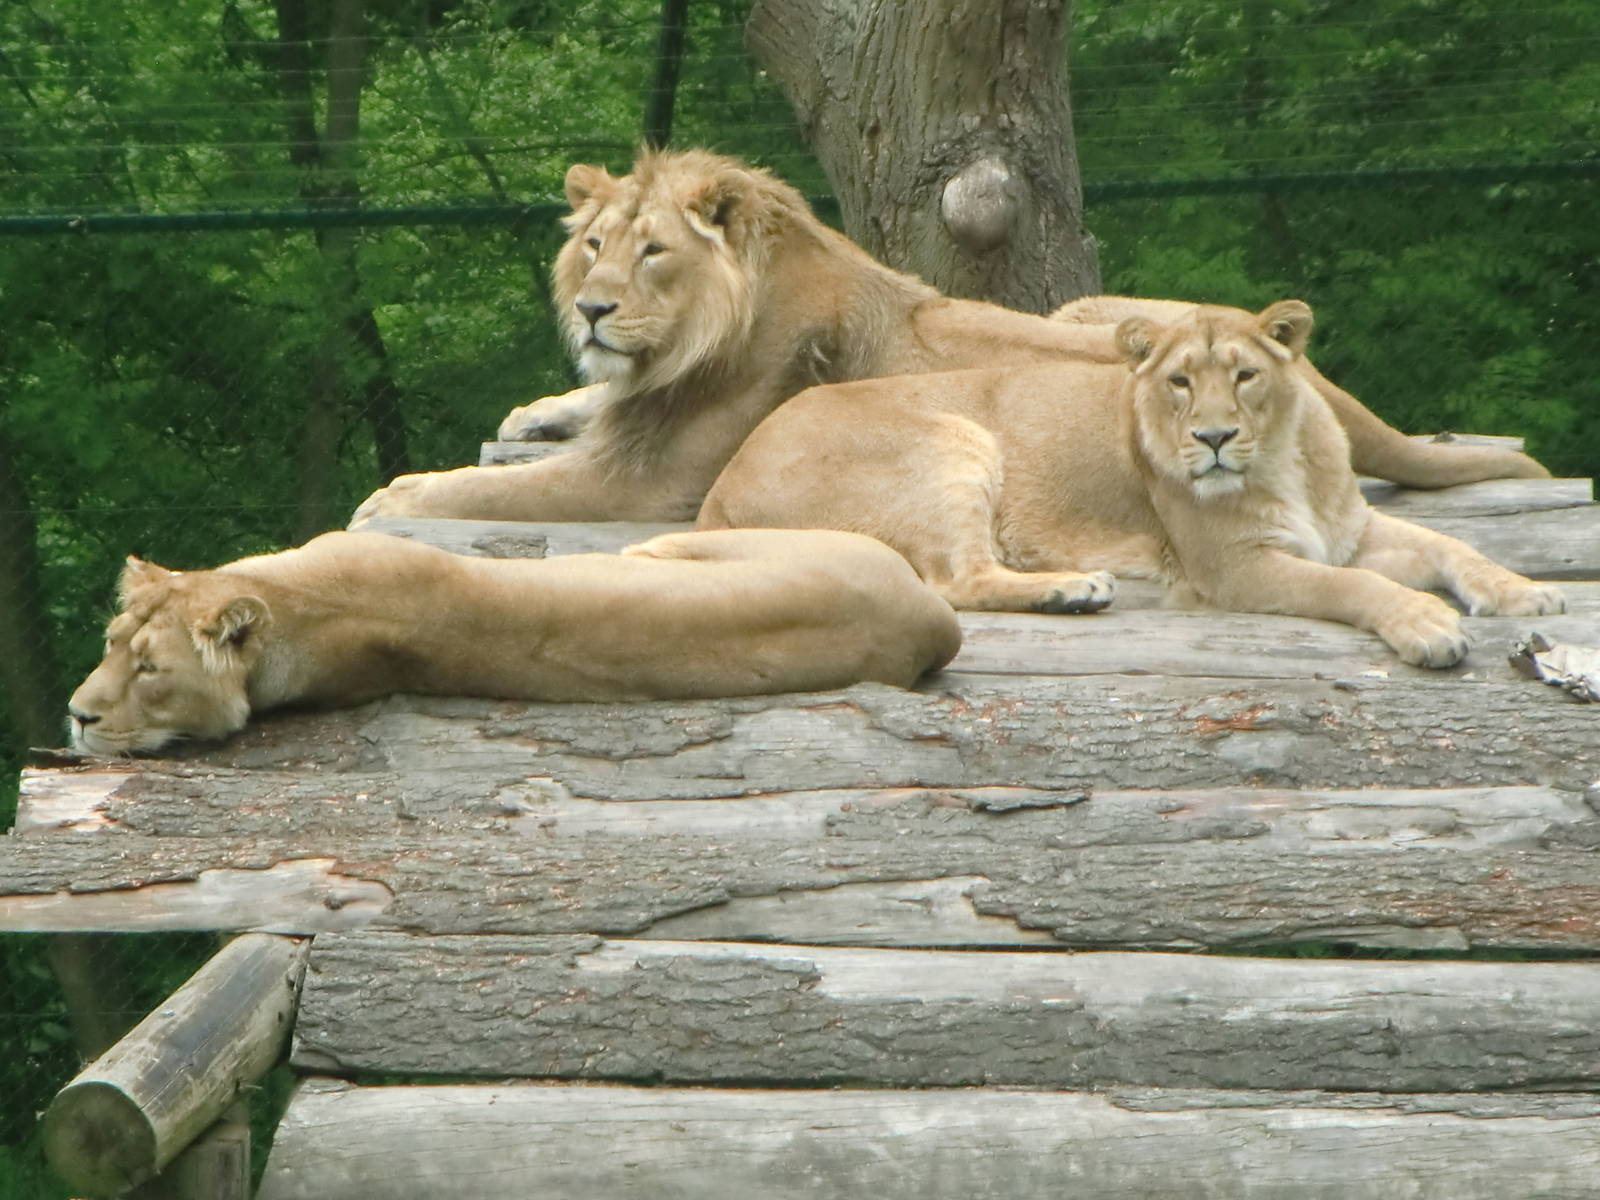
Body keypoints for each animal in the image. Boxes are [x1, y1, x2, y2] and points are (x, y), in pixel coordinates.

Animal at [349, 149, 1546, 528]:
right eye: (592, 246)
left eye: (651, 255)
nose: (592, 312)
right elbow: (572, 417)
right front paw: (540, 406)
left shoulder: (646, 485)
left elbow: (483, 494)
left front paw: (393, 497)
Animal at [697, 300, 1565, 668]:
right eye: (1179, 383)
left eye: (1244, 376)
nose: (1212, 438)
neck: (1283, 455)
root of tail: (725, 477)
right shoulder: (1235, 569)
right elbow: (1351, 590)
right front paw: (1426, 625)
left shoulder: (1352, 531)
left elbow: (1451, 544)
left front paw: (1525, 593)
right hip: (953, 439)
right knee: (955, 582)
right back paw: (1073, 588)